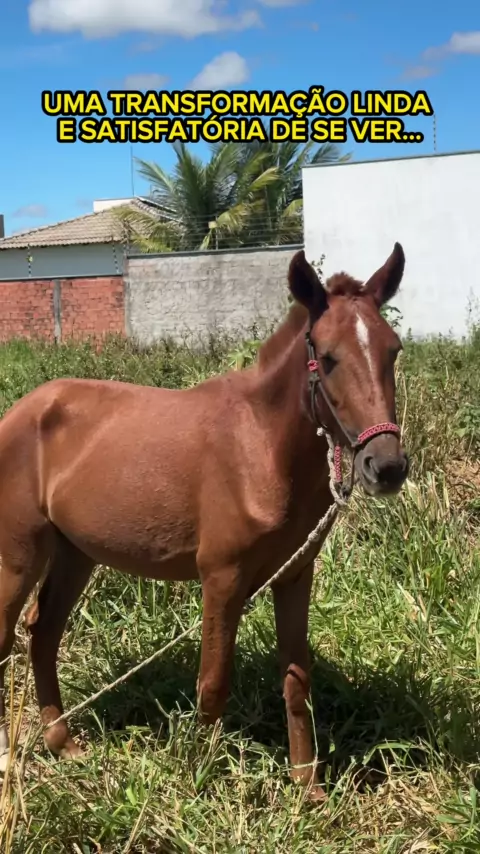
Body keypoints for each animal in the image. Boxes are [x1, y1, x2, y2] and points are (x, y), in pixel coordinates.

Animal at [0, 244, 409, 802]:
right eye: (326, 357)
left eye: (394, 350)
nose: (386, 467)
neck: (260, 446)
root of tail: (22, 410)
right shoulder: (221, 577)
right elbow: (213, 683)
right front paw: (201, 780)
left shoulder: (294, 575)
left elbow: (296, 679)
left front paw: (307, 787)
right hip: (18, 557)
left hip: (74, 553)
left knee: (43, 633)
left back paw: (62, 744)